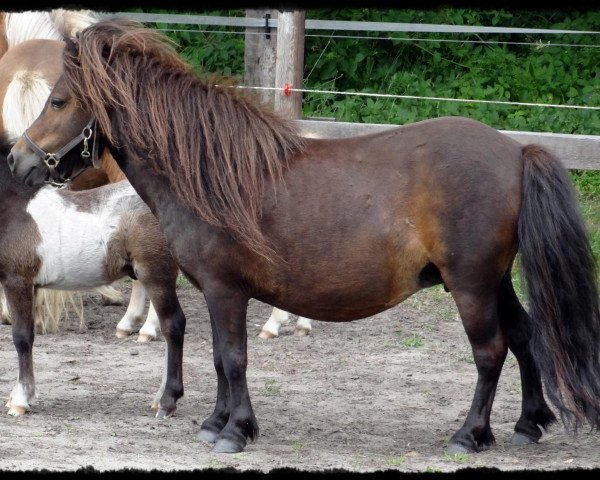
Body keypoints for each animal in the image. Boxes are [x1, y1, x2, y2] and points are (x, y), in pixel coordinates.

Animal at [0, 135, 185, 416]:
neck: (15, 208)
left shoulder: (17, 281)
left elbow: (22, 337)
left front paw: (20, 400)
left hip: (157, 275)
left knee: (173, 326)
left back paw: (166, 401)